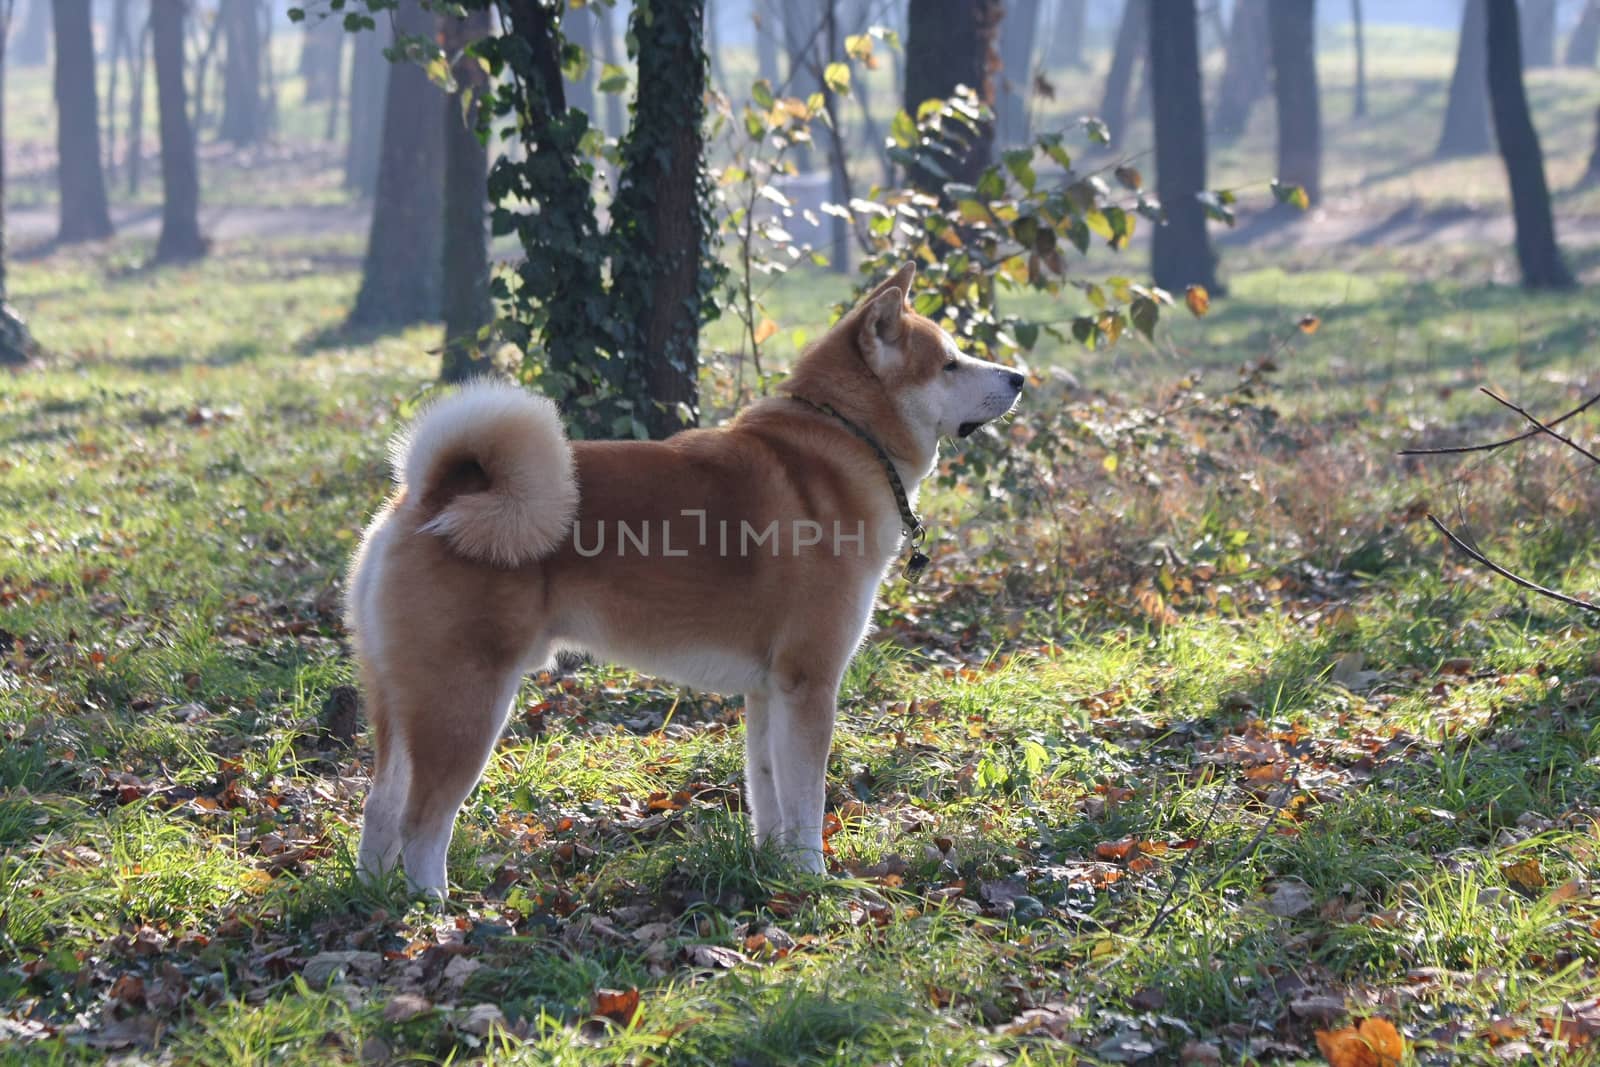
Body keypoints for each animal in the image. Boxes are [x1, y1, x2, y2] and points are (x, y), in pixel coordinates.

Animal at [348, 262, 1024, 895]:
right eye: (951, 363)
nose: (1020, 377)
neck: (844, 442)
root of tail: (430, 496)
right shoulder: (809, 682)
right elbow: (806, 804)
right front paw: (813, 881)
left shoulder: (768, 691)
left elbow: (770, 798)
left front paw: (771, 871)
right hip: (466, 702)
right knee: (420, 824)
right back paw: (433, 908)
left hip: (401, 701)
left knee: (379, 811)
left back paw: (377, 902)